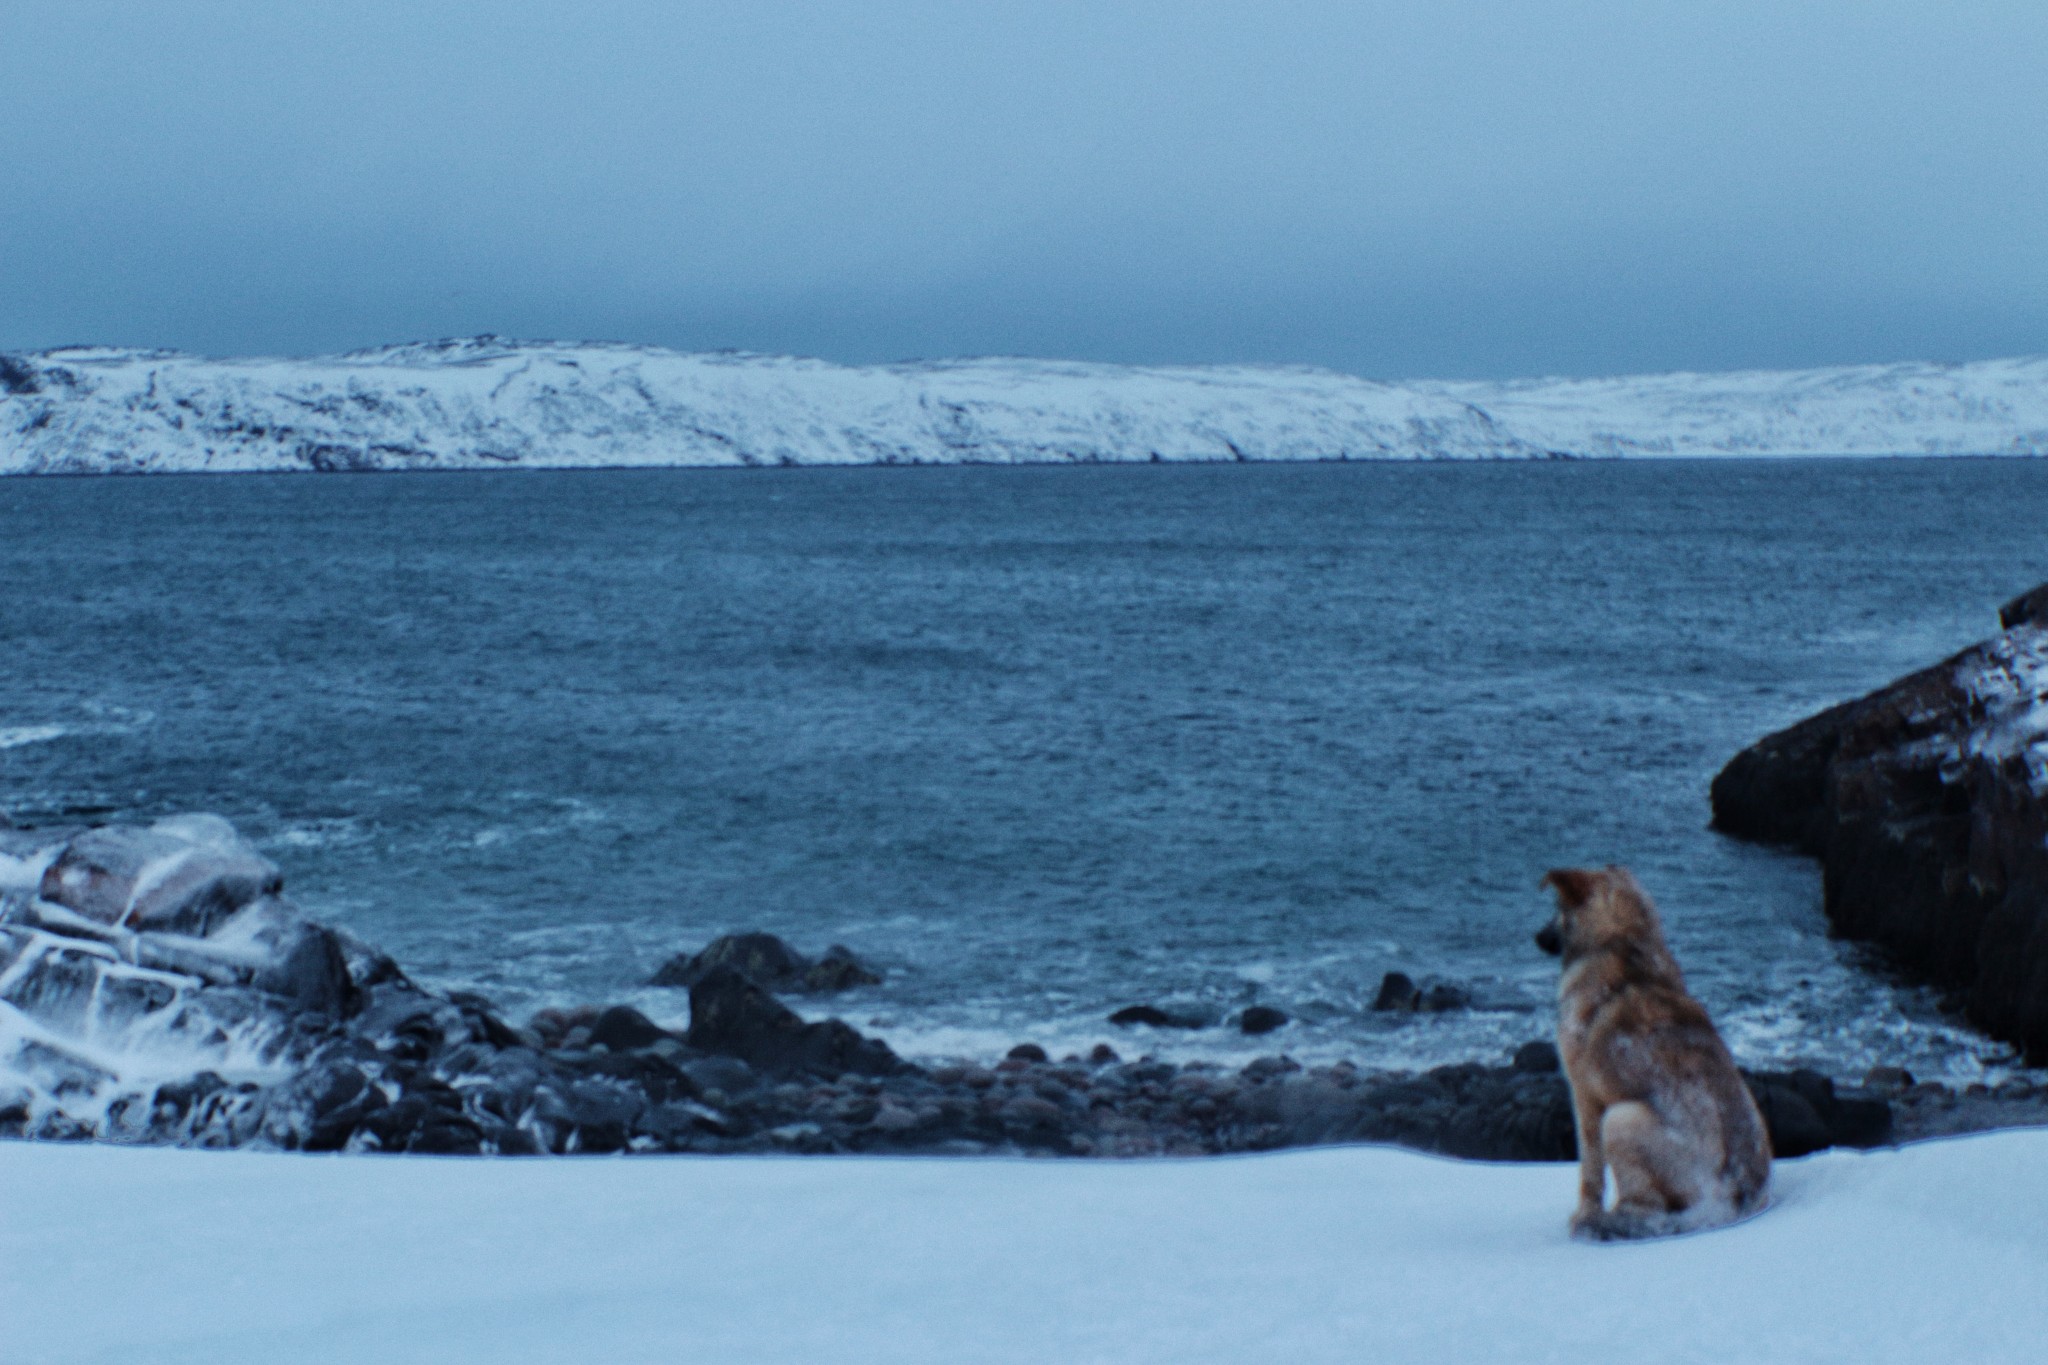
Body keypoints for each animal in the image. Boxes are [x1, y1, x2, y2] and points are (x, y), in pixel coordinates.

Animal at [1540, 871, 1769, 1244]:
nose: (1536, 937)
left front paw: (1583, 1216)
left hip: (1619, 1120)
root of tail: (1731, 1199)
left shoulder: (1584, 1097)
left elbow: (1590, 1173)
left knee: (1649, 1208)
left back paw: (1614, 1223)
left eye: (1556, 907)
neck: (1622, 939)